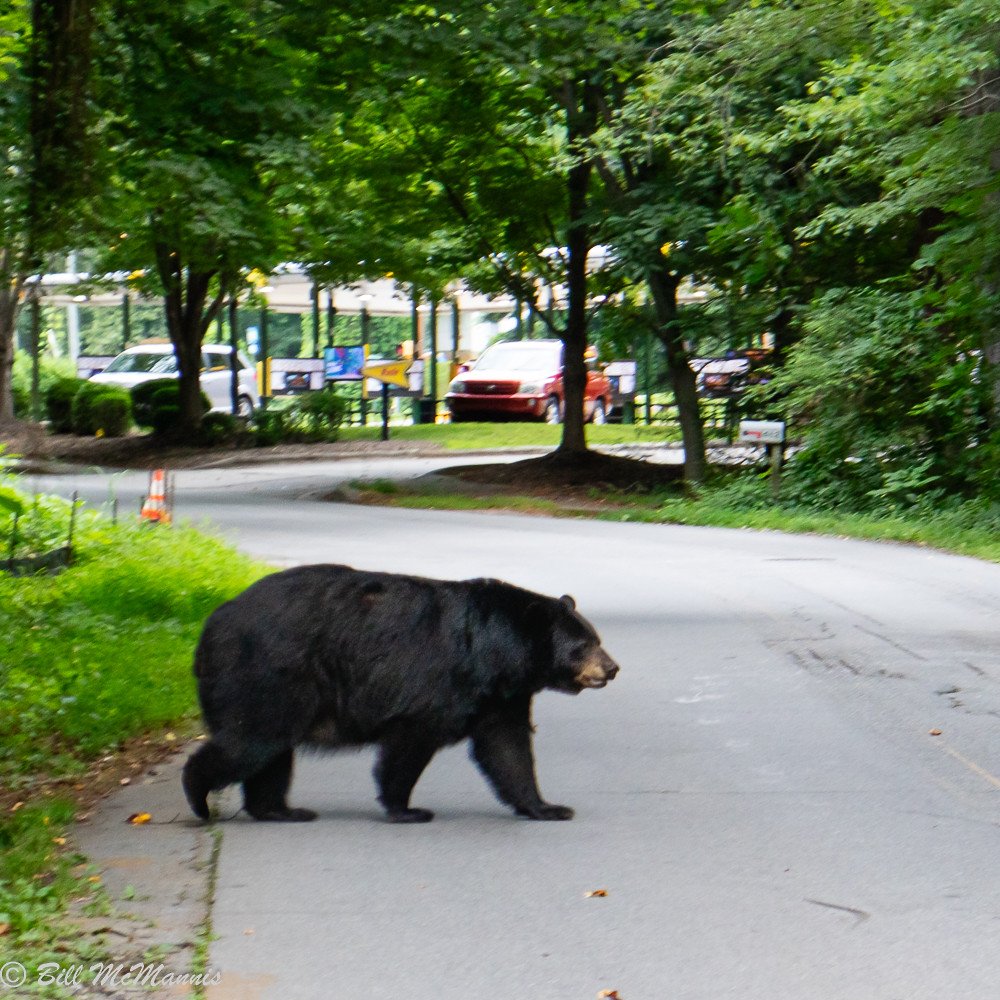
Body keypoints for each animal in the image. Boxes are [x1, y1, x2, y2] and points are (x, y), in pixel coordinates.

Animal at [182, 564, 619, 823]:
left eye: (597, 640)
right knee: (251, 740)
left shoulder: (501, 696)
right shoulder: (441, 681)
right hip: (269, 673)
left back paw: (281, 810)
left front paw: (548, 806)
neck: (496, 652)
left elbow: (507, 748)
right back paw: (199, 799)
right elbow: (411, 742)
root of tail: (210, 625)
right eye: (582, 645)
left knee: (271, 751)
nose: (612, 668)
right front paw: (407, 809)